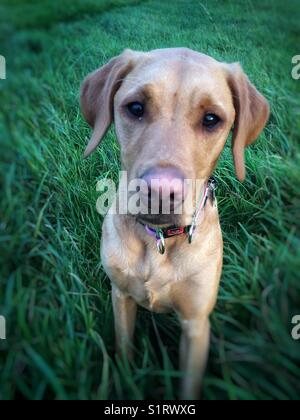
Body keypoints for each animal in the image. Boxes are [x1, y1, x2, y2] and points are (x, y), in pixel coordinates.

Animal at [80, 47, 270, 398]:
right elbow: (124, 349)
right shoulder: (121, 297)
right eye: (135, 108)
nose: (160, 191)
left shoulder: (196, 324)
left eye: (211, 119)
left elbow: (188, 385)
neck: (159, 241)